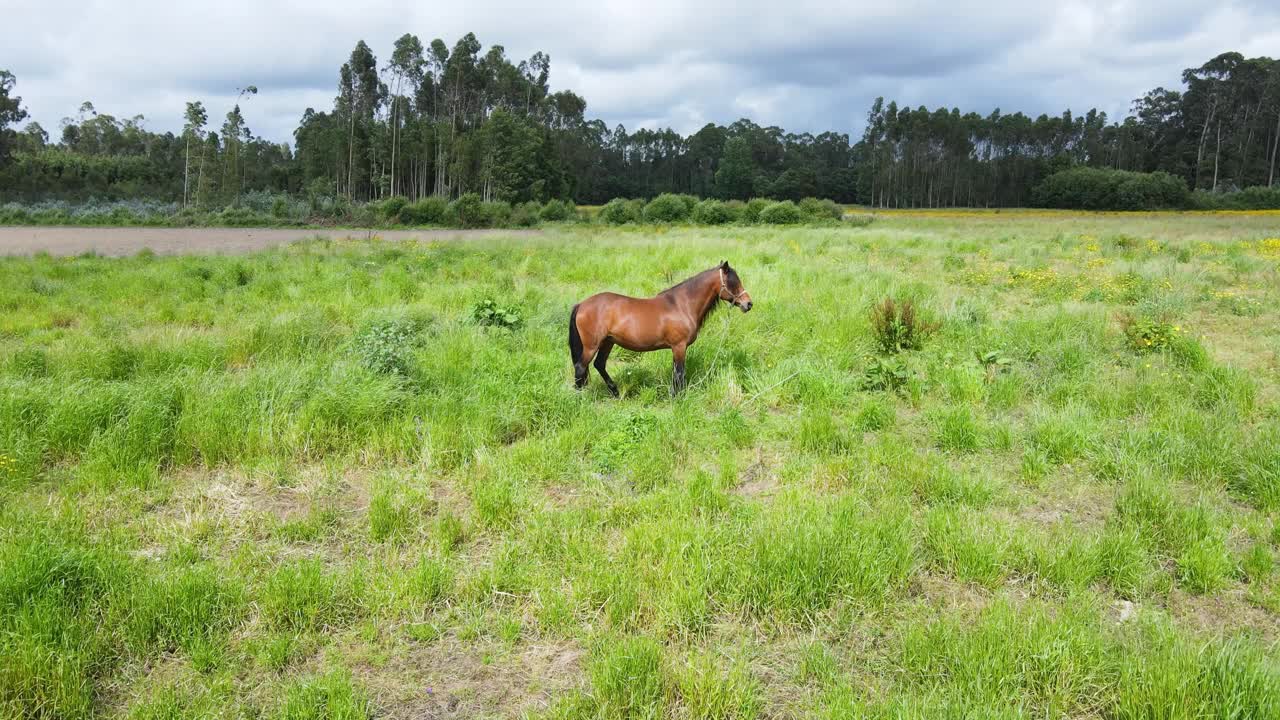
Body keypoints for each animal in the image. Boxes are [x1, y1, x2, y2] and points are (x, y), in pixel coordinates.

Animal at [568, 258, 747, 394]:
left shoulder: (677, 348)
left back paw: (615, 391)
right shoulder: (679, 346)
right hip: (592, 345)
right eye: (733, 283)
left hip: (608, 342)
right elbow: (679, 373)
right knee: (581, 367)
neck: (681, 305)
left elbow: (676, 373)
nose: (748, 304)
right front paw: (677, 397)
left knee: (599, 364)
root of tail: (581, 305)